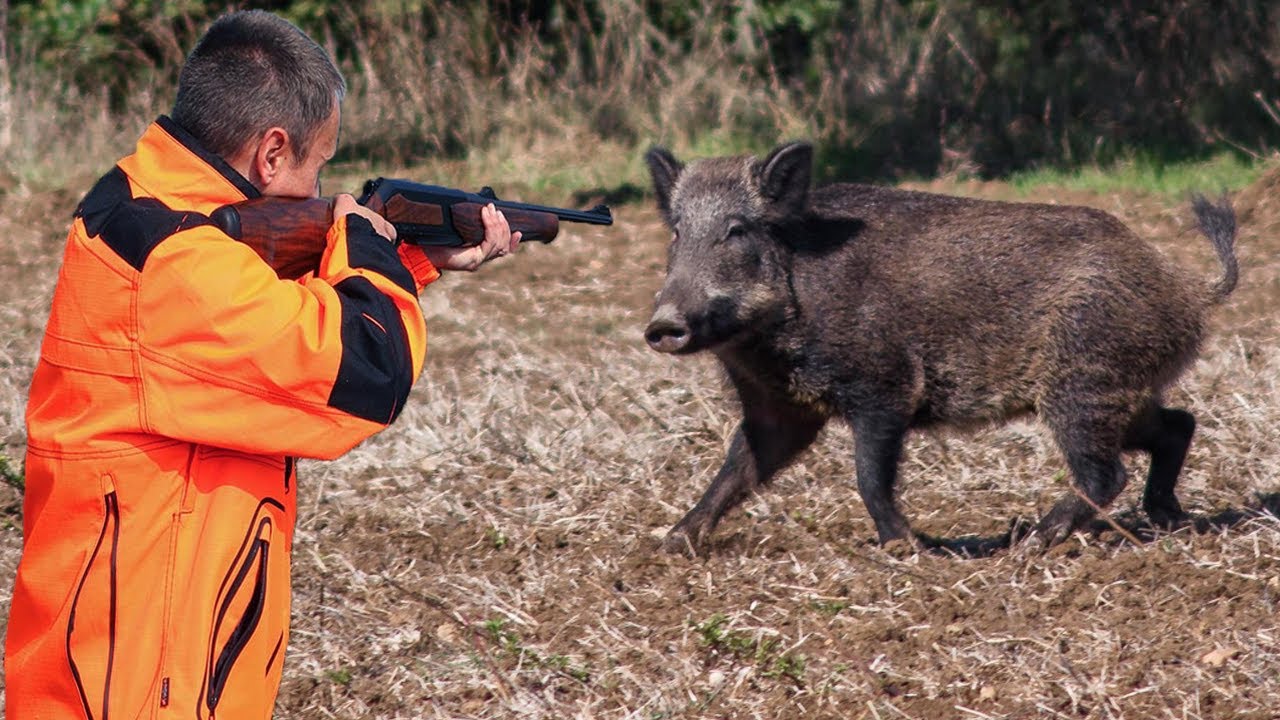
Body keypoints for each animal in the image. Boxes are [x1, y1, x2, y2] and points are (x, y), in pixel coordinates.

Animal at [643, 141, 1239, 555]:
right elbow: (736, 468)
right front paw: (671, 544)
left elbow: (869, 475)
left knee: (1106, 472)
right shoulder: (779, 410)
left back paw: (1030, 544)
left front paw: (904, 547)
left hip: (1084, 384)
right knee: (1178, 425)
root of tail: (1187, 288)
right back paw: (1168, 520)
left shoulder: (885, 386)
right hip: (1124, 392)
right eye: (676, 232)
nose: (662, 324)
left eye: (737, 230)